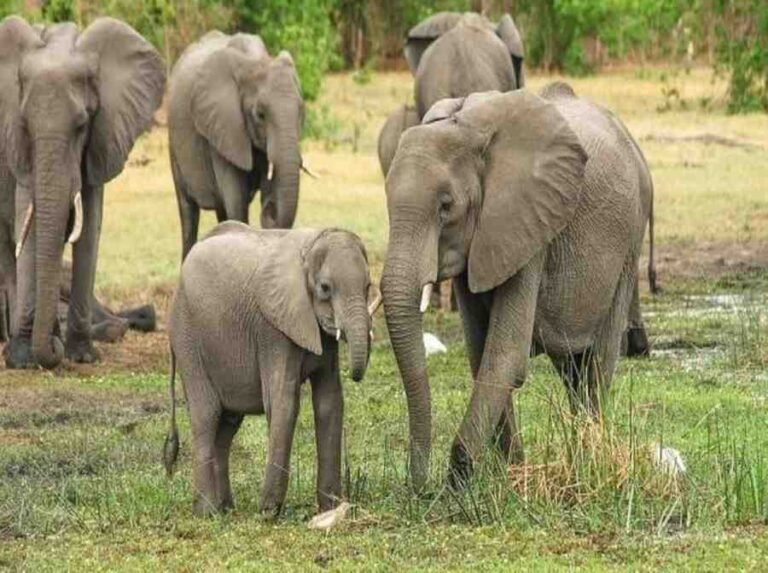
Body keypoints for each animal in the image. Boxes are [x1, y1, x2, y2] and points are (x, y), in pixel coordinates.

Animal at [0, 17, 165, 369]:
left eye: (81, 126)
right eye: (26, 126)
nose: (53, 351)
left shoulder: (101, 139)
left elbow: (89, 229)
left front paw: (82, 355)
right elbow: (28, 227)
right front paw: (22, 358)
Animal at [163, 222, 377, 517]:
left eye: (368, 286)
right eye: (324, 288)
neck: (308, 247)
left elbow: (330, 402)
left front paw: (330, 509)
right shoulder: (273, 330)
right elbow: (283, 402)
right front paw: (268, 512)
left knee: (227, 425)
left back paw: (225, 509)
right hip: (188, 340)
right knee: (206, 415)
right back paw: (206, 513)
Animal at [169, 31, 310, 261]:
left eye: (301, 111)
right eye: (260, 115)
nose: (269, 208)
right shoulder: (223, 128)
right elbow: (236, 200)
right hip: (174, 145)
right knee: (188, 213)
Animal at [380, 84, 654, 491]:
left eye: (446, 207)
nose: (420, 487)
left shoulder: (528, 226)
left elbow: (505, 354)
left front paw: (460, 480)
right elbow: (481, 353)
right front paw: (511, 472)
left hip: (629, 241)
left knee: (598, 362)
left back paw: (590, 459)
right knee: (572, 367)